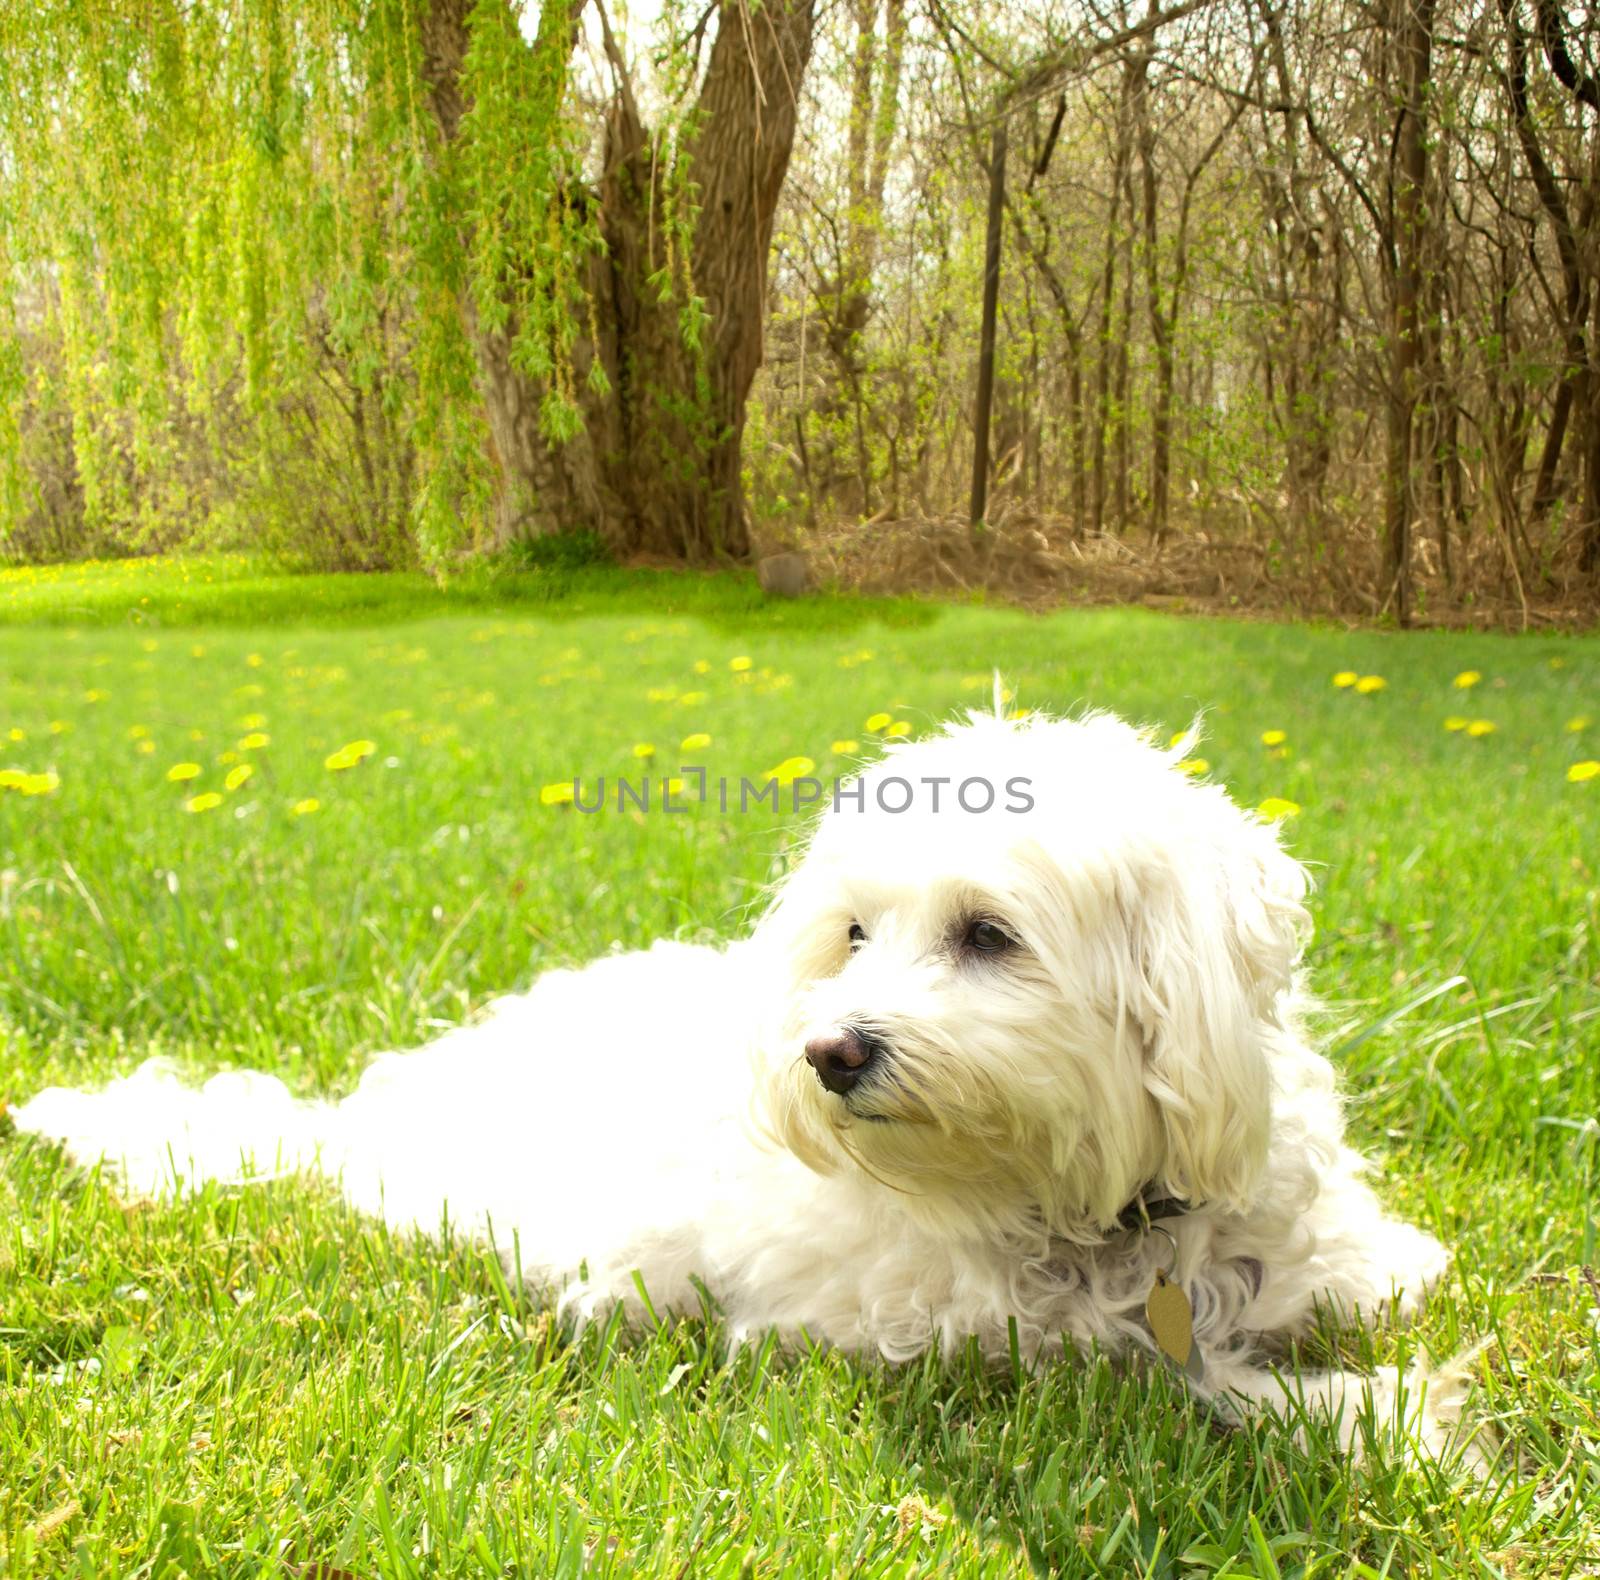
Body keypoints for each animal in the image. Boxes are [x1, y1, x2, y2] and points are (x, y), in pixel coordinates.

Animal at [12, 710, 1478, 1464]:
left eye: (989, 935)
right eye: (853, 934)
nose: (830, 1051)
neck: (1098, 1206)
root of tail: (365, 1115)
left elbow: (1338, 1268)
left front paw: (1380, 1281)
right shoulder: (981, 1344)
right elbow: (1178, 1378)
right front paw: (1378, 1416)